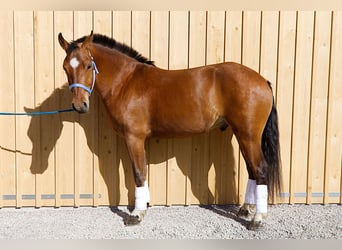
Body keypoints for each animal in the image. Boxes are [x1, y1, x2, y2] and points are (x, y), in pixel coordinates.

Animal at [58, 31, 280, 230]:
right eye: (65, 67)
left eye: (88, 65)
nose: (79, 105)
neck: (126, 82)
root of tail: (262, 80)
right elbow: (142, 171)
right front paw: (144, 206)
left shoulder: (134, 137)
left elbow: (139, 172)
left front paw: (136, 214)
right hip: (243, 135)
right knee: (251, 169)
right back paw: (246, 209)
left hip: (248, 136)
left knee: (260, 169)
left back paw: (257, 219)